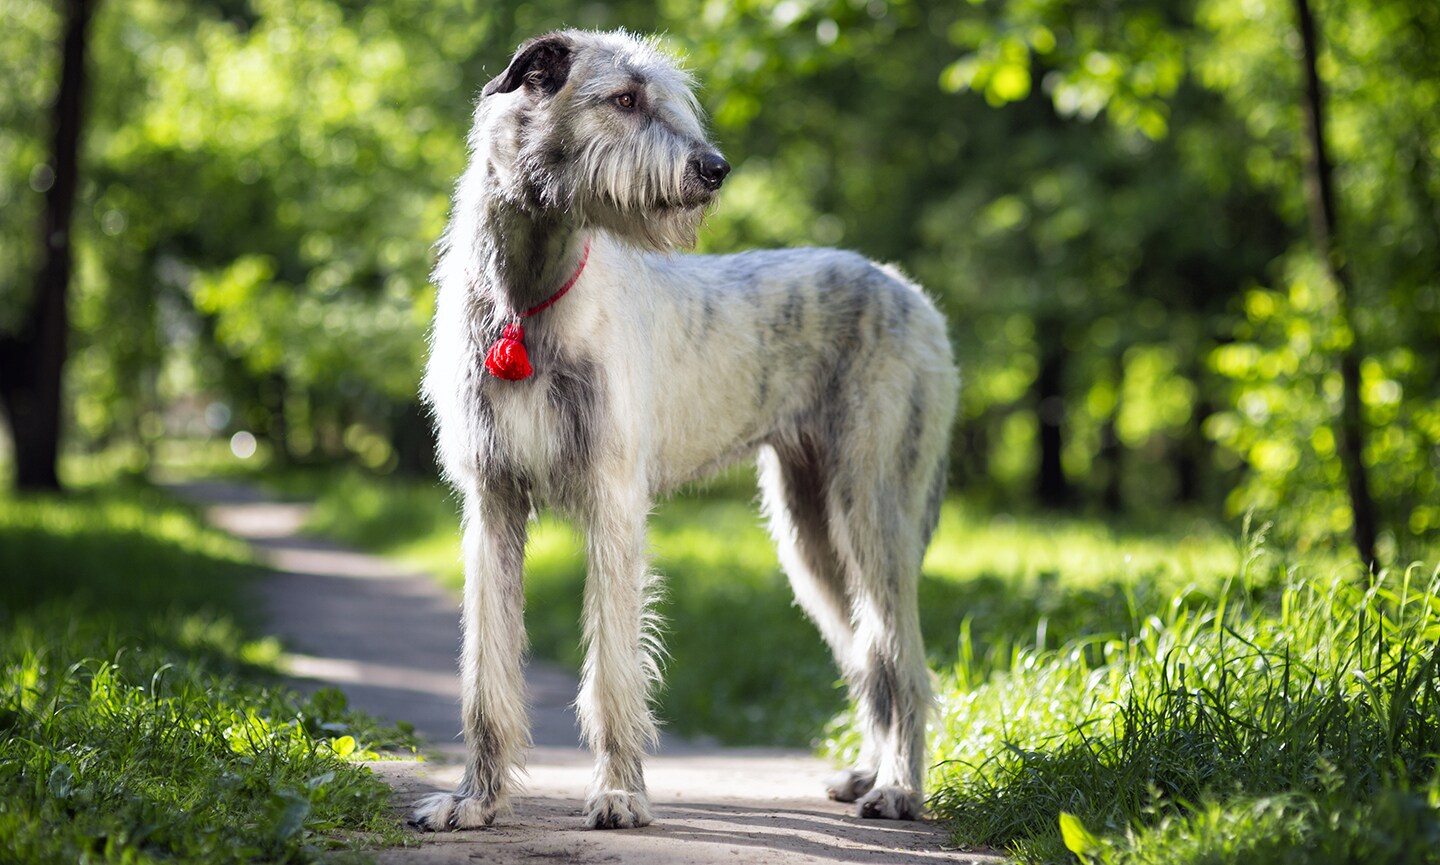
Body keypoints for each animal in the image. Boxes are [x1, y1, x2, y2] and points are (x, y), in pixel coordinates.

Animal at [414, 30, 956, 829]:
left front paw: (618, 793)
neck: (527, 296)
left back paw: (899, 787)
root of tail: (914, 294)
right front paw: (473, 800)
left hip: (874, 509)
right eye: (625, 98)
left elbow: (613, 668)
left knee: (903, 661)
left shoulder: (614, 500)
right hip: (810, 533)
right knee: (869, 659)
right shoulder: (492, 501)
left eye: (668, 100)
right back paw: (868, 771)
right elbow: (486, 667)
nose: (715, 168)